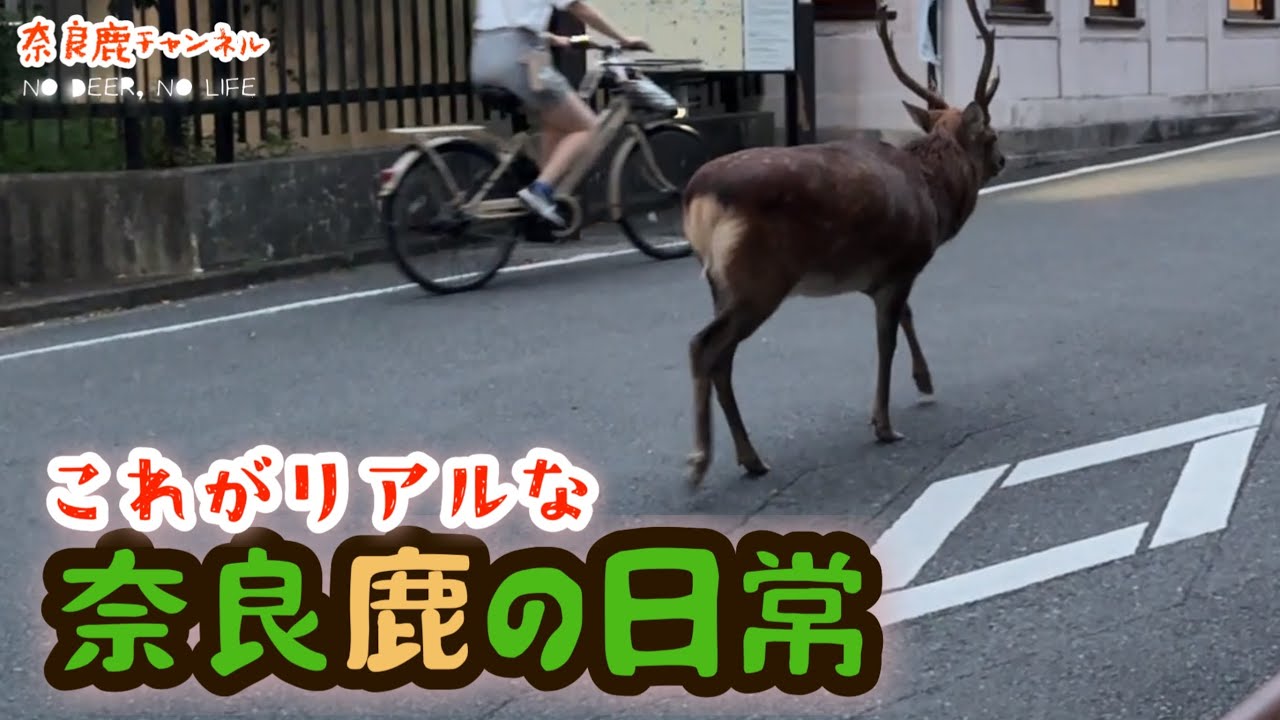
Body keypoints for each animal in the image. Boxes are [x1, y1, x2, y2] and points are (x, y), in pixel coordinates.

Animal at [681, 0, 1003, 488]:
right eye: (991, 134)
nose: (1002, 160)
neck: (934, 197)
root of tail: (699, 195)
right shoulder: (903, 264)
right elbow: (886, 341)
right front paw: (884, 425)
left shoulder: (885, 275)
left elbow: (906, 318)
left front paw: (925, 383)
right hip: (758, 279)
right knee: (705, 346)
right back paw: (702, 460)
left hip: (720, 283)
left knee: (723, 357)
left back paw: (750, 458)